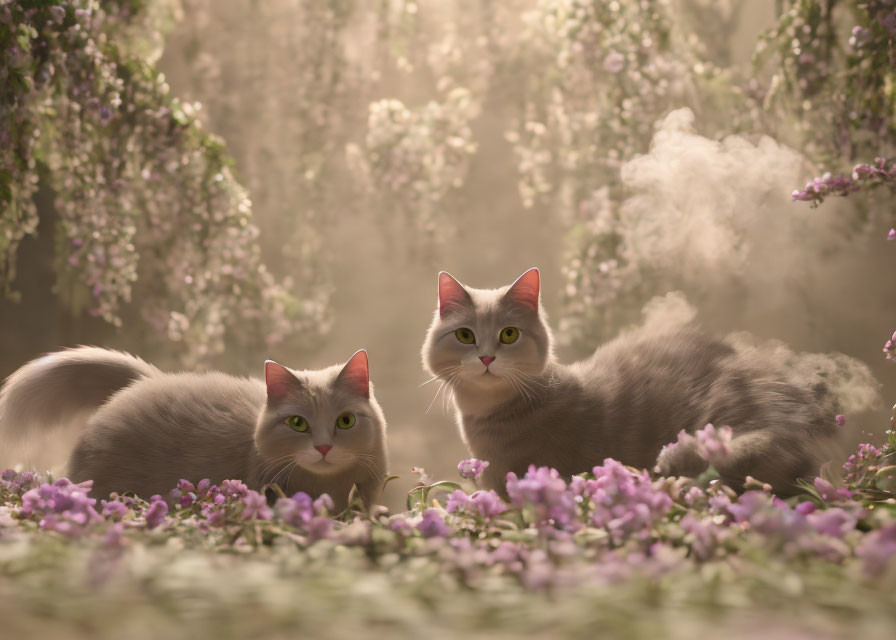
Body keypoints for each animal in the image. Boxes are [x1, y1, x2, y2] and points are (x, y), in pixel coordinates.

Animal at [0, 348, 388, 512]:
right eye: (298, 423)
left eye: (345, 421)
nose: (323, 448)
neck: (327, 485)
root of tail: (146, 381)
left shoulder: (369, 484)